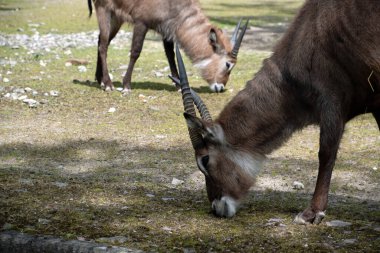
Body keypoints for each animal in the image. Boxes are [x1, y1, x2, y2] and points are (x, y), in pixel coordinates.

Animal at [87, 0, 248, 93]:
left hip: (116, 17)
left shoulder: (167, 30)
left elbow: (171, 55)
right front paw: (126, 86)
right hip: (104, 9)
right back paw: (108, 84)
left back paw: (100, 79)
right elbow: (135, 52)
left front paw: (178, 85)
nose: (220, 87)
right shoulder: (141, 23)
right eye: (228, 64)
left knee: (101, 41)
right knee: (103, 45)